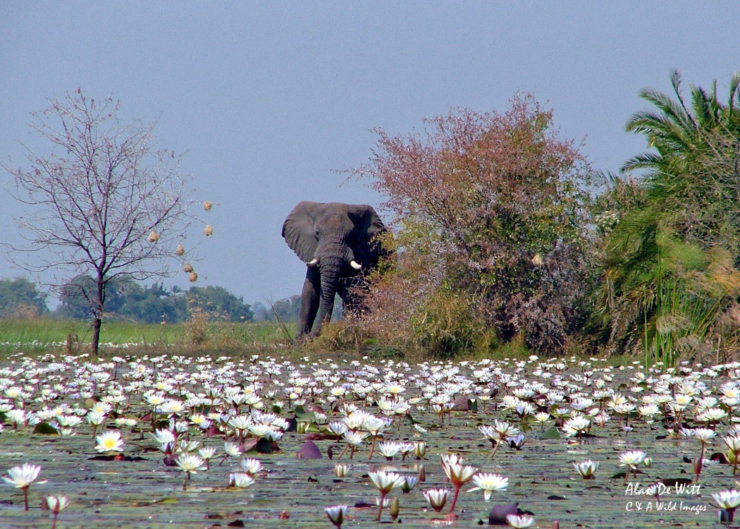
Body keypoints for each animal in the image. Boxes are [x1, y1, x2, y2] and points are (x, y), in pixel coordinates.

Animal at [282, 201, 386, 338]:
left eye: (352, 235)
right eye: (317, 233)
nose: (311, 336)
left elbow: (352, 291)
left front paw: (348, 333)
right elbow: (310, 292)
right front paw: (300, 341)